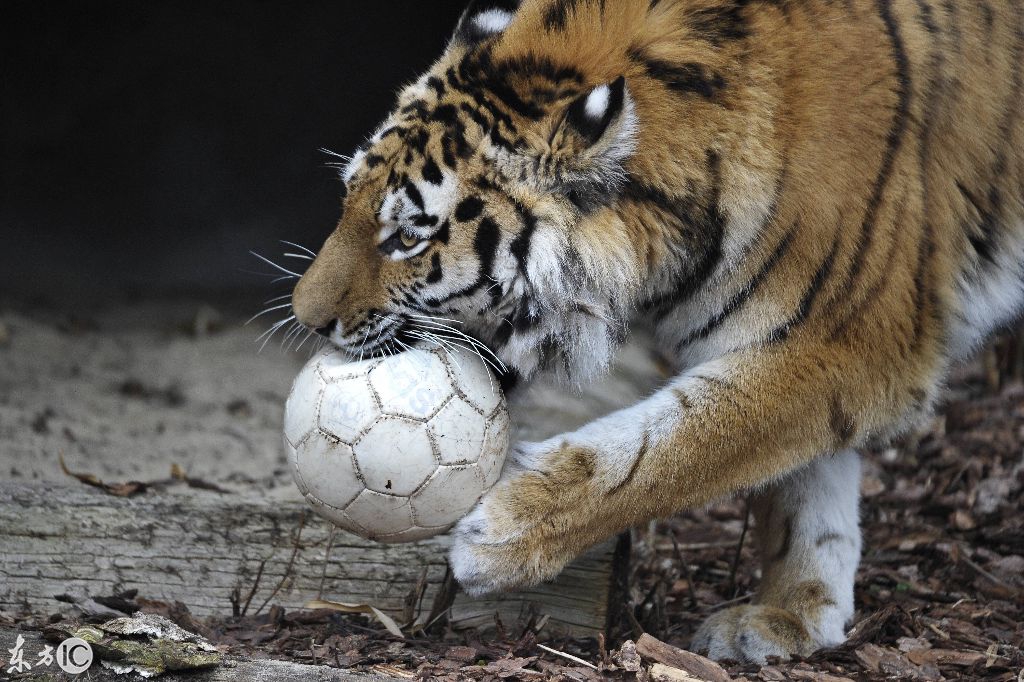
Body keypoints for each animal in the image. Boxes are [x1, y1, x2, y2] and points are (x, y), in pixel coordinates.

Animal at [286, 0, 1024, 659]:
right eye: (348, 197)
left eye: (409, 236)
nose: (303, 315)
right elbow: (805, 491)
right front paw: (790, 614)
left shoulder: (852, 340)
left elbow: (677, 447)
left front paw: (506, 535)